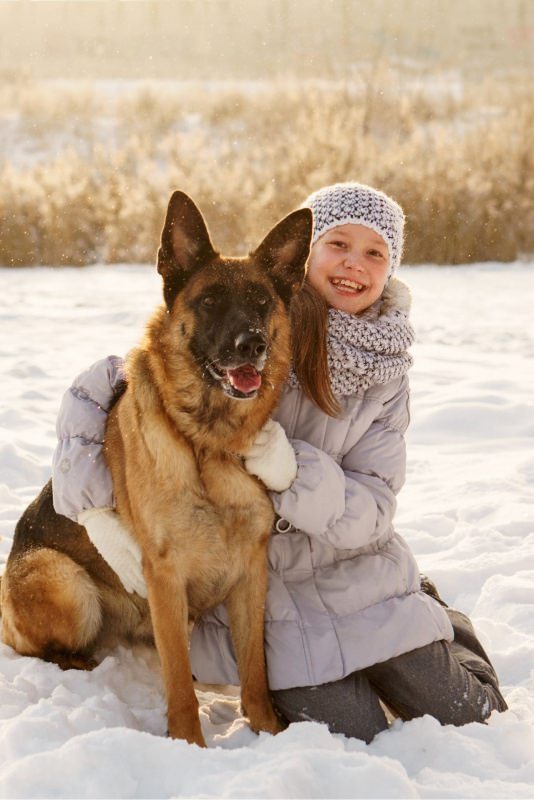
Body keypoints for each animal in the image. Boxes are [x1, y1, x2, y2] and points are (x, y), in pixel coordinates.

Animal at [1, 191, 314, 748]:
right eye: (209, 301)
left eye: (261, 301)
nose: (252, 343)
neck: (208, 446)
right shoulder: (165, 577)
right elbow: (179, 687)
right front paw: (189, 745)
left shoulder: (251, 574)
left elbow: (255, 670)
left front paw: (268, 731)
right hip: (67, 585)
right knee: (45, 646)